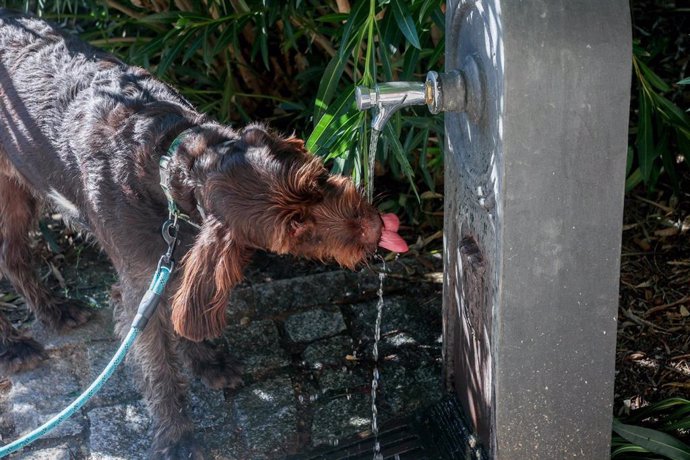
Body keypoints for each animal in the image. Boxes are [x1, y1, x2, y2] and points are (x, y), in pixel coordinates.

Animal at [0, 9, 404, 458]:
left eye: (318, 178)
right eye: (296, 226)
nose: (376, 227)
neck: (167, 161)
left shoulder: (179, 254)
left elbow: (183, 309)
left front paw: (206, 362)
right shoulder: (140, 286)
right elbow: (157, 361)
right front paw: (176, 434)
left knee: (12, 255)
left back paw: (53, 311)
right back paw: (13, 345)